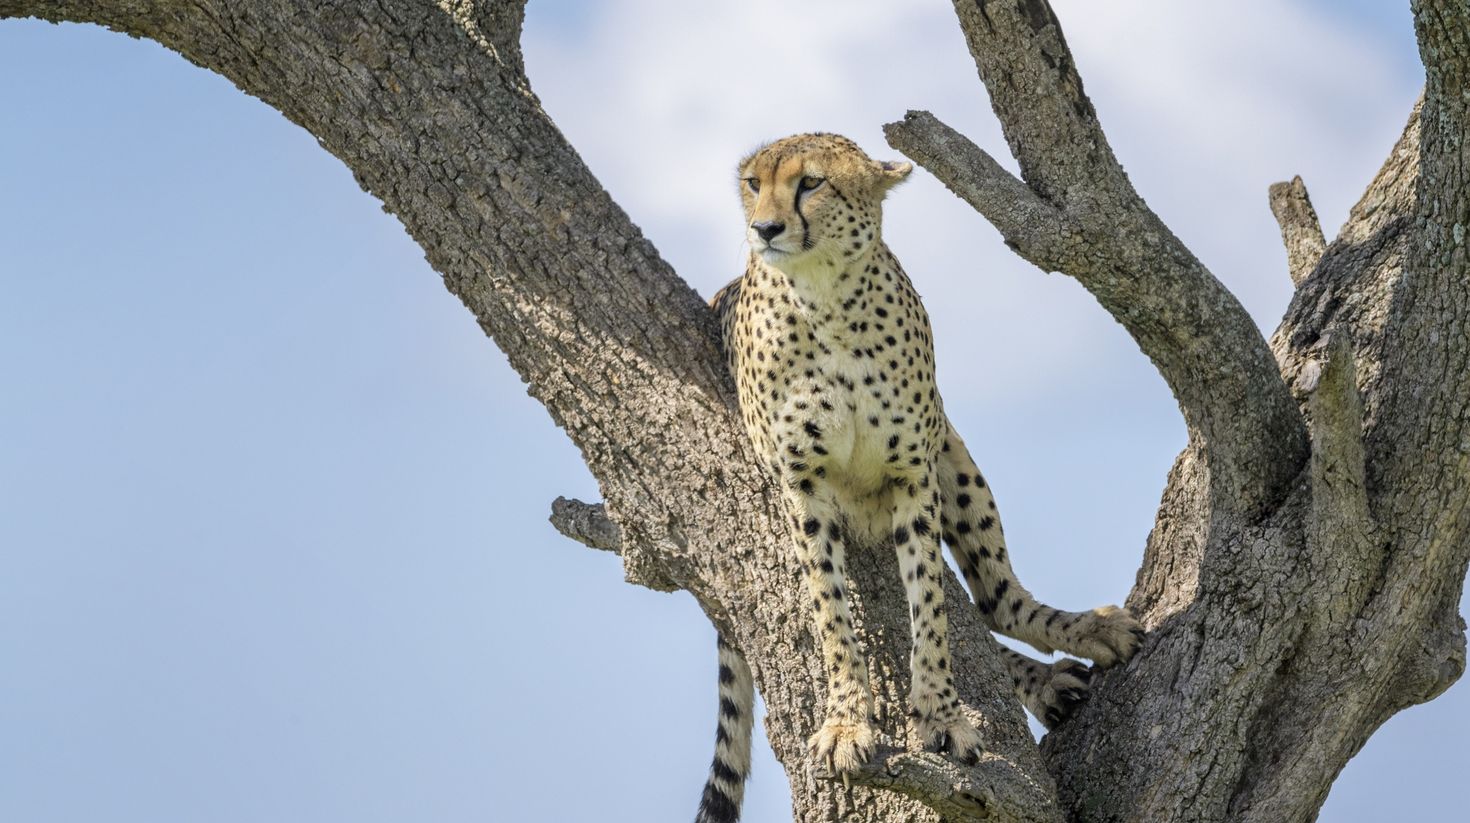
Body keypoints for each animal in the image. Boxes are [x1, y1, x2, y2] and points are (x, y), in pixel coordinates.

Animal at [694, 133, 1144, 823]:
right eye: (752, 184)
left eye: (810, 183)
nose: (764, 228)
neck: (827, 299)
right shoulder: (803, 486)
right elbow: (831, 613)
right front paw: (847, 724)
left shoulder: (914, 475)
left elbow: (930, 606)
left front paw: (939, 715)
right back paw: (1048, 682)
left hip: (956, 459)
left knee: (996, 603)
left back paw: (1083, 635)